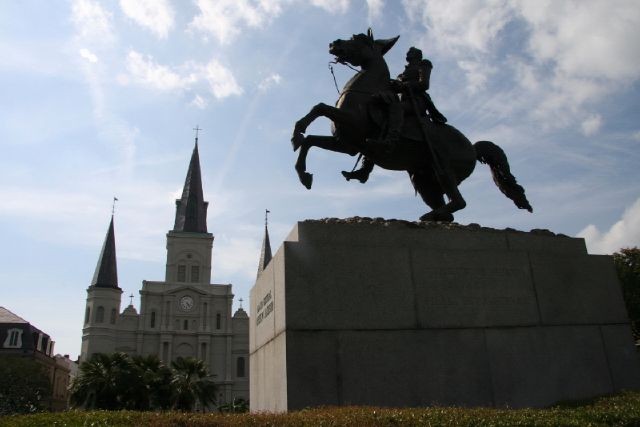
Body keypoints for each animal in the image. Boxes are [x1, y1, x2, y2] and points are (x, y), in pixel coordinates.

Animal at [290, 30, 528, 222]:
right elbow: (310, 139)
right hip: (423, 179)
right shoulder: (347, 145)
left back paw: (431, 215)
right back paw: (431, 215)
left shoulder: (352, 125)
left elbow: (320, 108)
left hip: (443, 169)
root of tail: (472, 147)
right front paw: (303, 171)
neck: (364, 92)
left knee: (458, 201)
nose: (334, 43)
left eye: (358, 39)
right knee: (448, 211)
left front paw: (297, 135)